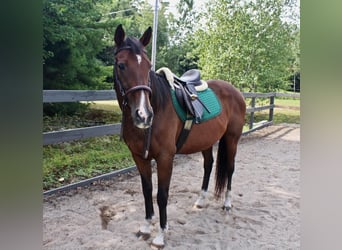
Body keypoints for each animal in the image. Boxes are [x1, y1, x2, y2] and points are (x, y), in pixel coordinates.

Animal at [114, 24, 246, 247]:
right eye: (121, 65)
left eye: (148, 66)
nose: (144, 115)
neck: (159, 106)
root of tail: (235, 91)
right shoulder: (139, 157)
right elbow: (147, 191)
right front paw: (145, 227)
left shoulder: (165, 158)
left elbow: (162, 195)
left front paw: (160, 235)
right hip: (207, 142)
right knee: (208, 165)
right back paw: (200, 200)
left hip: (232, 139)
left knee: (229, 168)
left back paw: (227, 204)